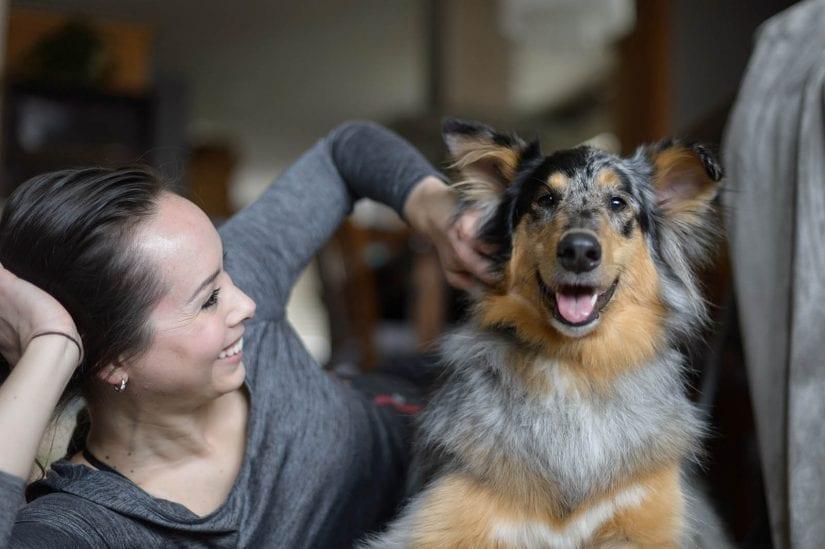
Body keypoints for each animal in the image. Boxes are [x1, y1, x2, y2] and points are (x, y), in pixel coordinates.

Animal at [364, 120, 724, 548]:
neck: (574, 367)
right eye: (546, 199)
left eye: (618, 202)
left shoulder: (652, 520)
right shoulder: (438, 520)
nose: (579, 251)